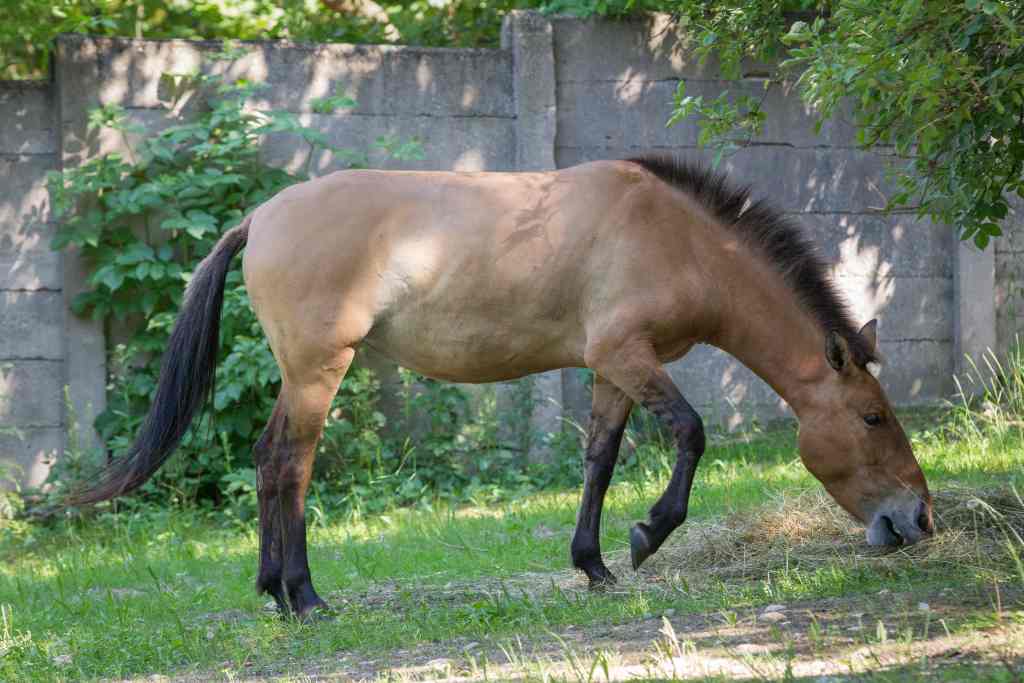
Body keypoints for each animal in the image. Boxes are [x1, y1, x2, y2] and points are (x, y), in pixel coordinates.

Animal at [72, 157, 937, 618]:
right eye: (872, 416)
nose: (917, 519)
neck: (679, 240)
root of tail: (261, 218)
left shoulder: (612, 366)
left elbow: (600, 459)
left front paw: (594, 563)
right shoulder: (628, 353)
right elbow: (692, 432)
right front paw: (648, 535)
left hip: (302, 372)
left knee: (263, 457)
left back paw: (272, 592)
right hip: (321, 368)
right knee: (290, 464)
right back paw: (305, 596)